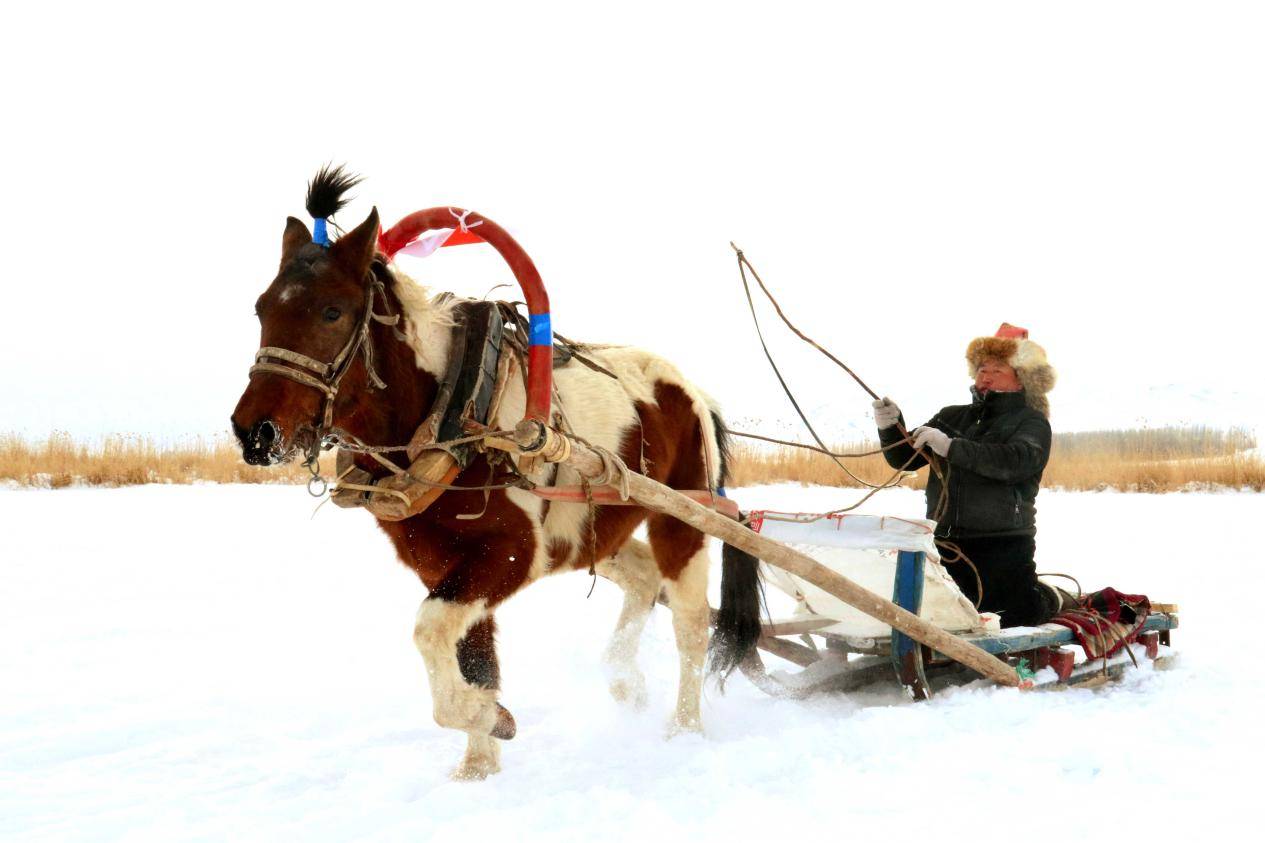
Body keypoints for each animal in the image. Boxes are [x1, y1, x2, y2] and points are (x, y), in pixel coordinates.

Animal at [231, 167, 762, 779]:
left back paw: (684, 730)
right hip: (596, 527)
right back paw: (623, 680)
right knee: (645, 579)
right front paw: (478, 766)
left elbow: (429, 632)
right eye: (261, 308)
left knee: (691, 625)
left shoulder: (509, 553)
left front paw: (488, 719)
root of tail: (693, 391)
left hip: (684, 517)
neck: (451, 412)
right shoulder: (442, 562)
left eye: (332, 312)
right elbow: (472, 656)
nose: (254, 433)